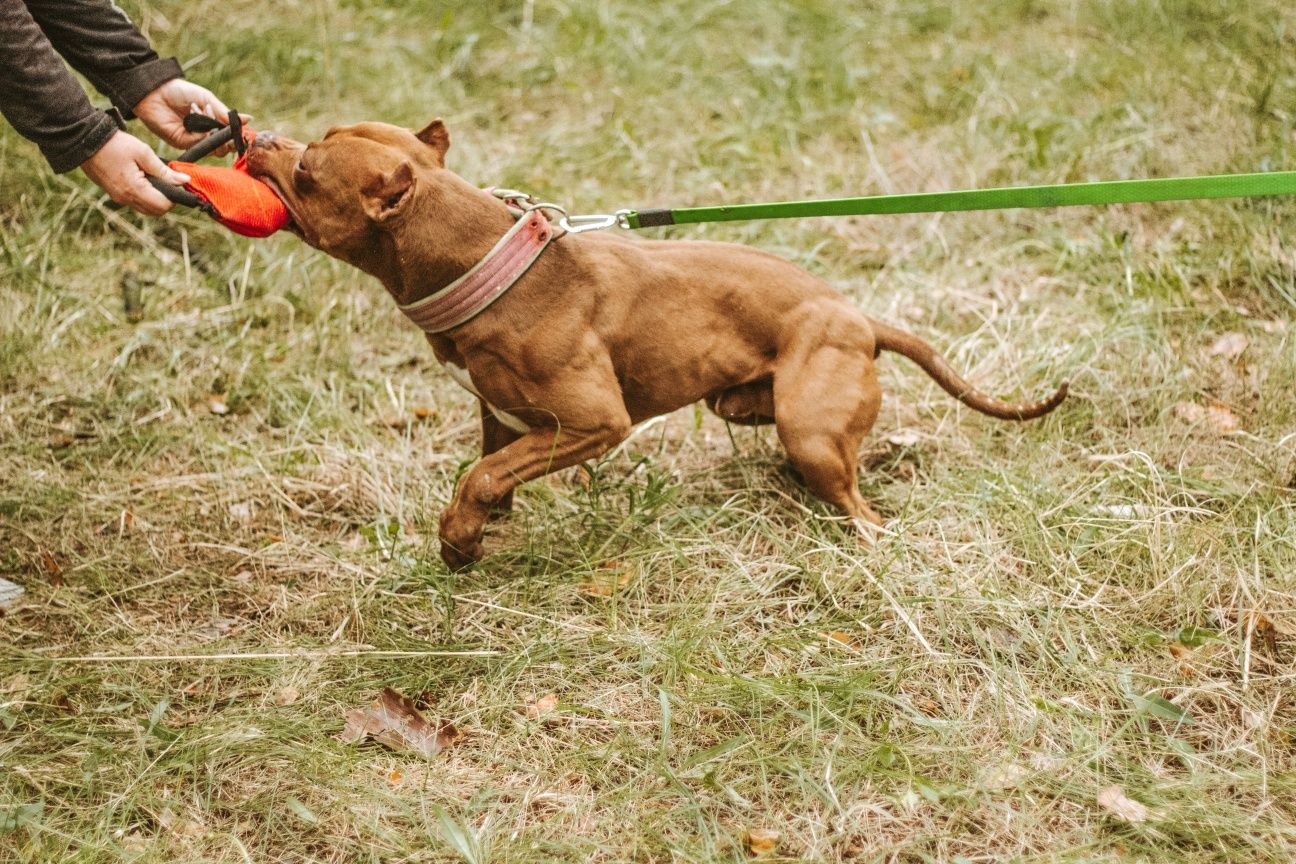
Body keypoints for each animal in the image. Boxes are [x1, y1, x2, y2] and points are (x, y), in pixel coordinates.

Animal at [247, 119, 1067, 567]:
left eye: (309, 169)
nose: (257, 138)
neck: (487, 264)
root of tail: (860, 318)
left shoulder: (591, 423)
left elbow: (480, 476)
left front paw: (458, 539)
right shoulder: (497, 413)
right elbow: (486, 466)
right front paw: (481, 528)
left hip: (809, 428)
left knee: (860, 505)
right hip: (747, 406)